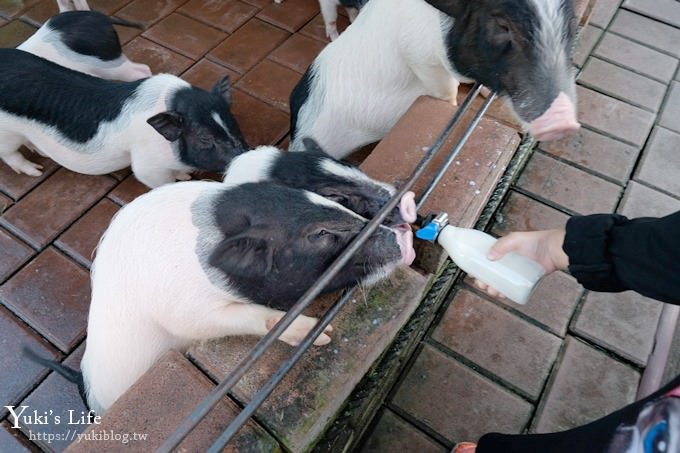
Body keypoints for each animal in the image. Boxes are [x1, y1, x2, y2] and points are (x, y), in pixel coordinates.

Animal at [0, 50, 250, 189]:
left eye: (232, 122)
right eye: (205, 137)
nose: (246, 154)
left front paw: (186, 175)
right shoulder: (146, 163)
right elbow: (154, 178)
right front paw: (182, 180)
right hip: (7, 136)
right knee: (9, 155)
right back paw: (36, 170)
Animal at [29, 178, 414, 412]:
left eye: (333, 204)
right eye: (319, 234)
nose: (404, 236)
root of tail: (84, 383)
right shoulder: (184, 310)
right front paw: (321, 334)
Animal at [290, 0, 580, 159]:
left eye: (570, 21)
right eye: (502, 26)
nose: (564, 121)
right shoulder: (420, 56)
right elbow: (446, 91)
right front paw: (450, 109)